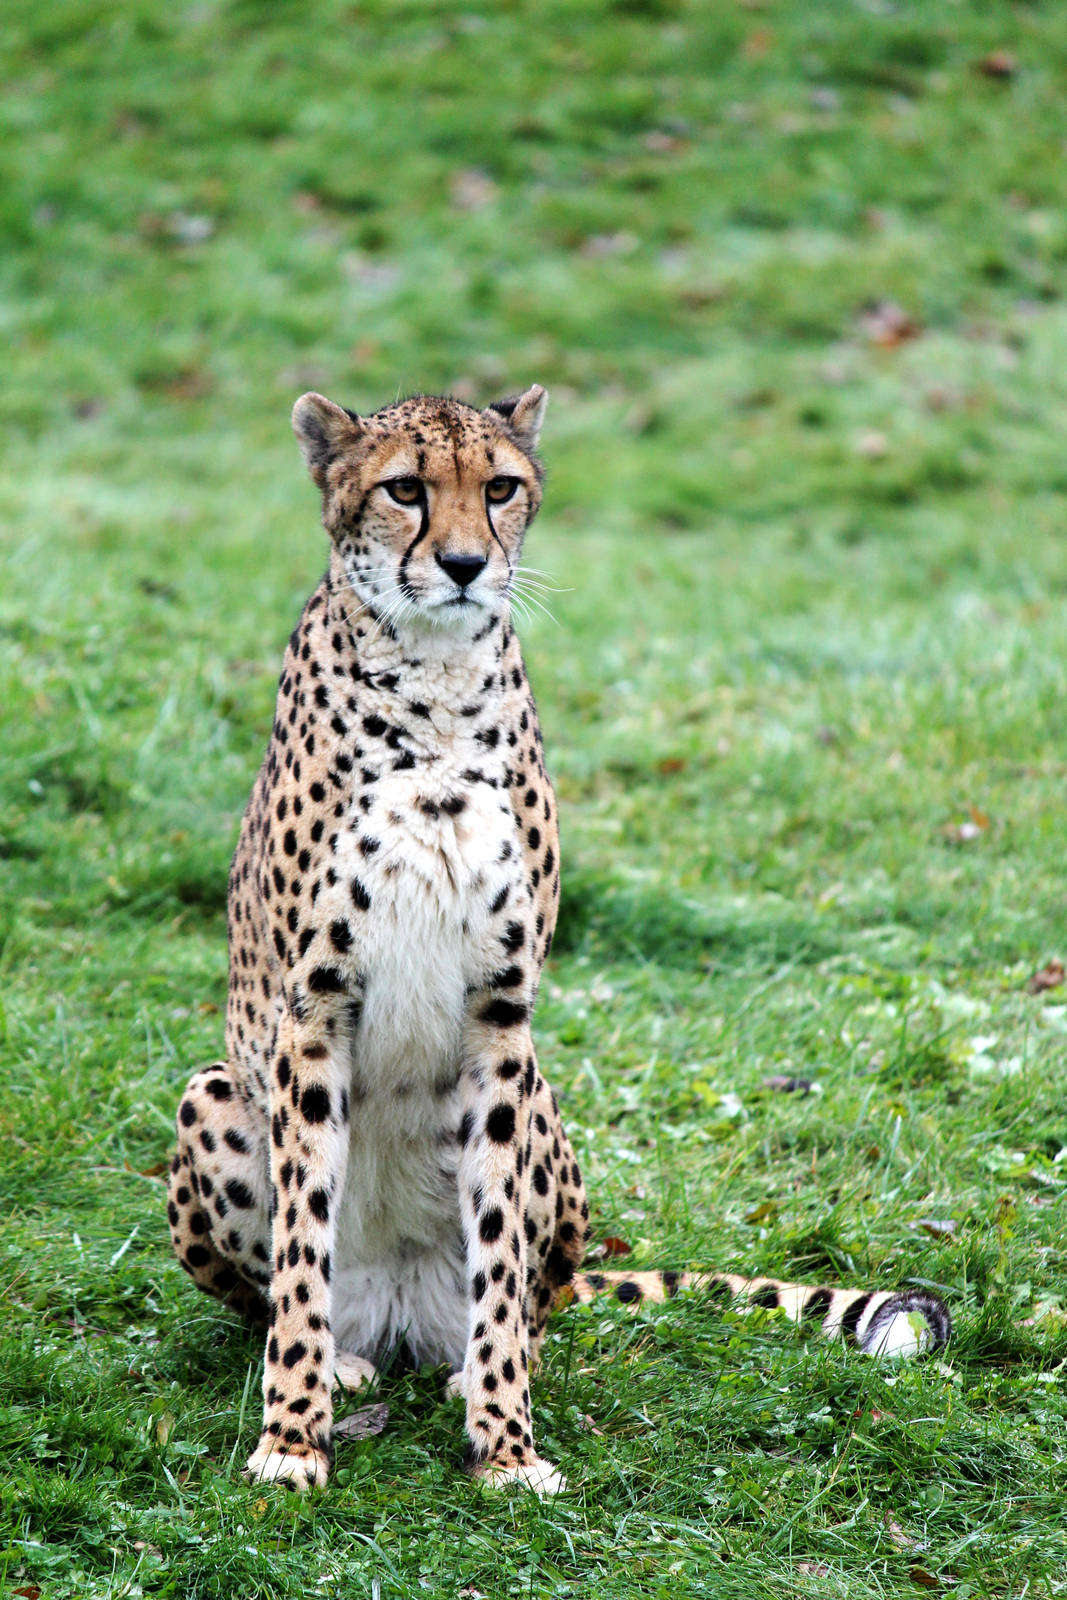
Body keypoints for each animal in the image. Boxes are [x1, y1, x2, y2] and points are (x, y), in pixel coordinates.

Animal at [166, 383, 951, 1495]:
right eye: (403, 489)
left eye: (499, 487)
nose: (463, 564)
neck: (436, 682)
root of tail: (401, 1321)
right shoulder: (313, 1011)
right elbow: (301, 1246)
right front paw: (291, 1437)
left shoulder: (501, 1019)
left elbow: (498, 1249)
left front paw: (505, 1445)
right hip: (212, 1091)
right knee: (264, 1293)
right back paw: (348, 1363)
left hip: (544, 1102)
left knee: (538, 1296)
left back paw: (467, 1366)